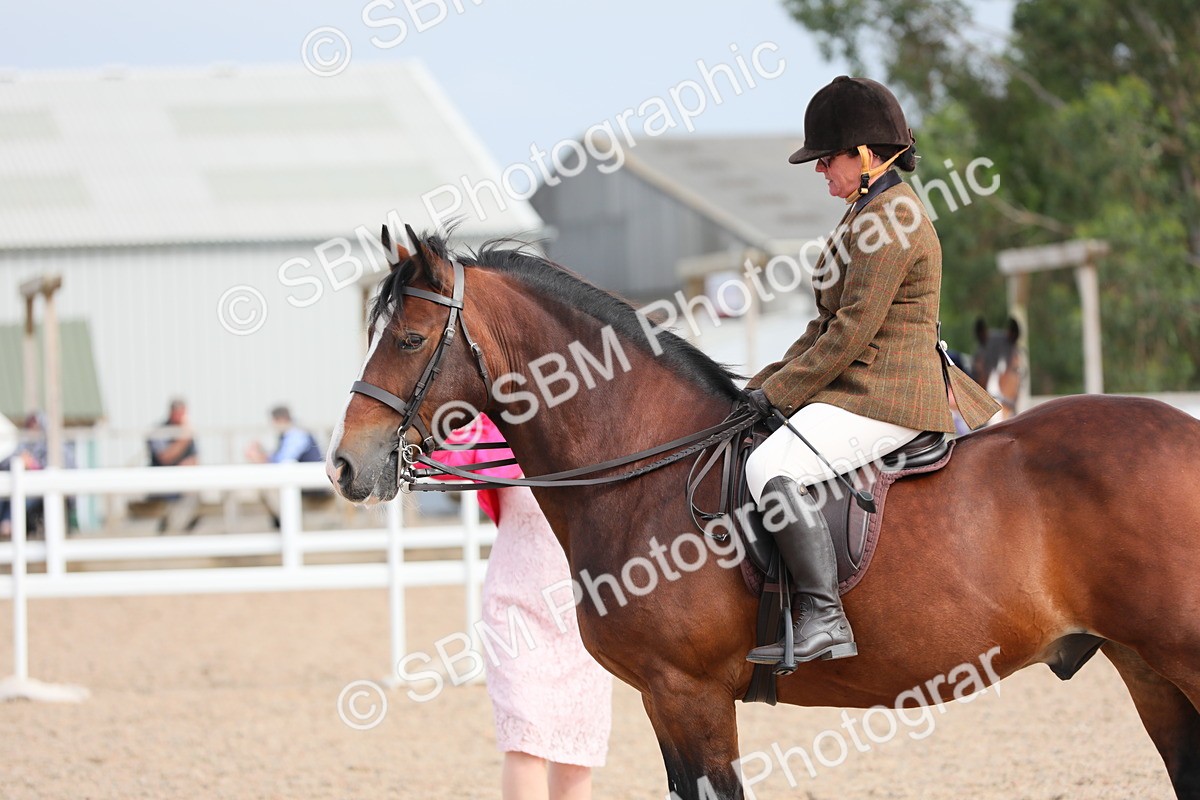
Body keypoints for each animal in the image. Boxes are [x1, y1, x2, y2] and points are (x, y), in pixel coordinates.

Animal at [327, 230, 1200, 799]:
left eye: (409, 339)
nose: (344, 465)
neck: (643, 461)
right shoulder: (663, 701)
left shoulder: (689, 693)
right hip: (1146, 666)